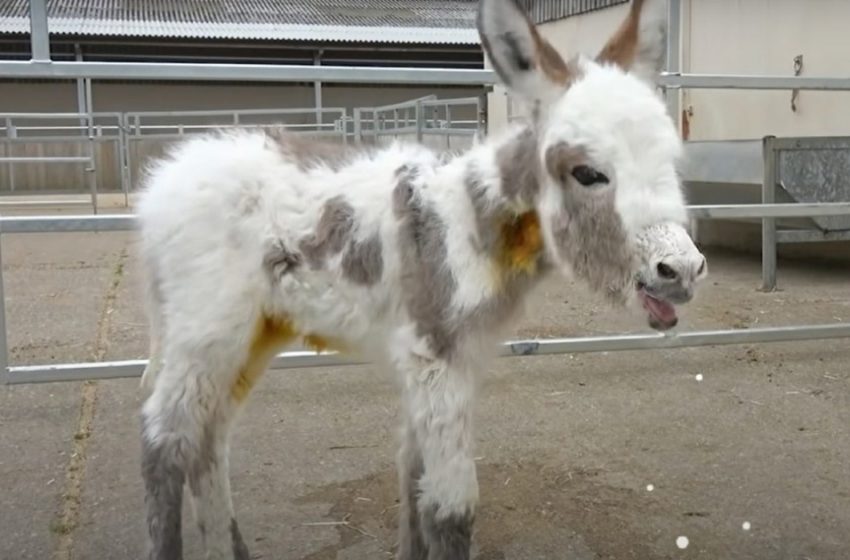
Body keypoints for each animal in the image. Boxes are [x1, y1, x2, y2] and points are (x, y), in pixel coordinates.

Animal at [139, 0, 704, 556]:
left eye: (672, 161)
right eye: (588, 173)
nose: (681, 270)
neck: (470, 220)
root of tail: (164, 180)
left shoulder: (452, 359)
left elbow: (414, 478)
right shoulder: (435, 354)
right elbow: (452, 509)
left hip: (252, 331)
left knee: (208, 439)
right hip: (207, 328)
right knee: (164, 441)